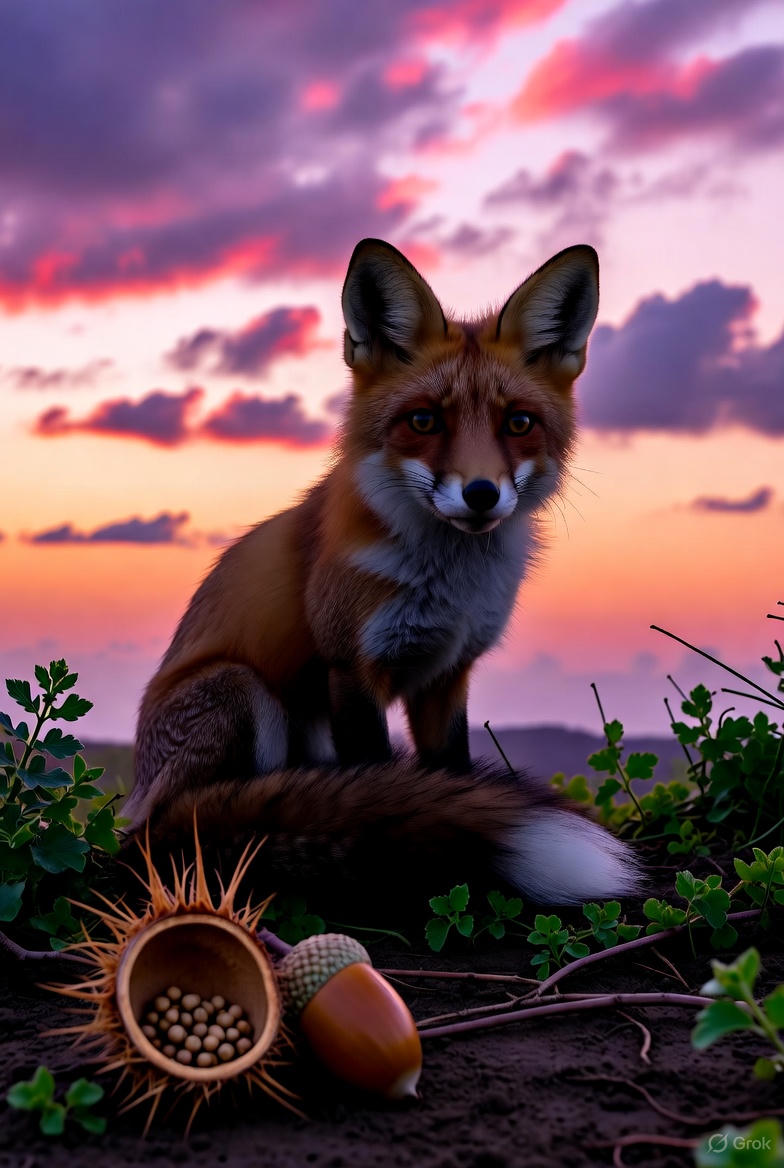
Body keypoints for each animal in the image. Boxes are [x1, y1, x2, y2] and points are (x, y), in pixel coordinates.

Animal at [125, 238, 640, 905]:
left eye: (518, 423)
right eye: (423, 421)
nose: (481, 494)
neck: (448, 585)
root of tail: (137, 808)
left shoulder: (448, 673)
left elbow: (451, 775)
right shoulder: (351, 665)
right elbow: (382, 769)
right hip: (240, 691)